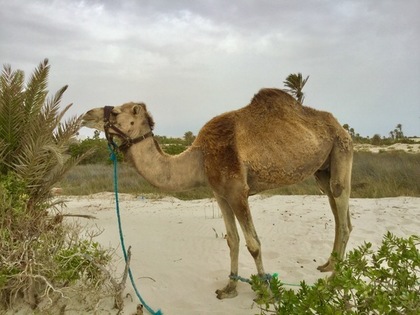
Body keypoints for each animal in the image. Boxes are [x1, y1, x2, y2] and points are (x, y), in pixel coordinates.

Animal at [81, 89, 352, 302]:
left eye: (116, 112)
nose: (86, 114)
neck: (200, 157)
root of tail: (340, 125)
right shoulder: (221, 194)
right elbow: (232, 240)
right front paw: (229, 287)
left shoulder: (238, 192)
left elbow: (253, 243)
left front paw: (266, 292)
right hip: (322, 171)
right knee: (339, 215)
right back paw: (328, 265)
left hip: (342, 150)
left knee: (343, 214)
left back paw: (335, 281)